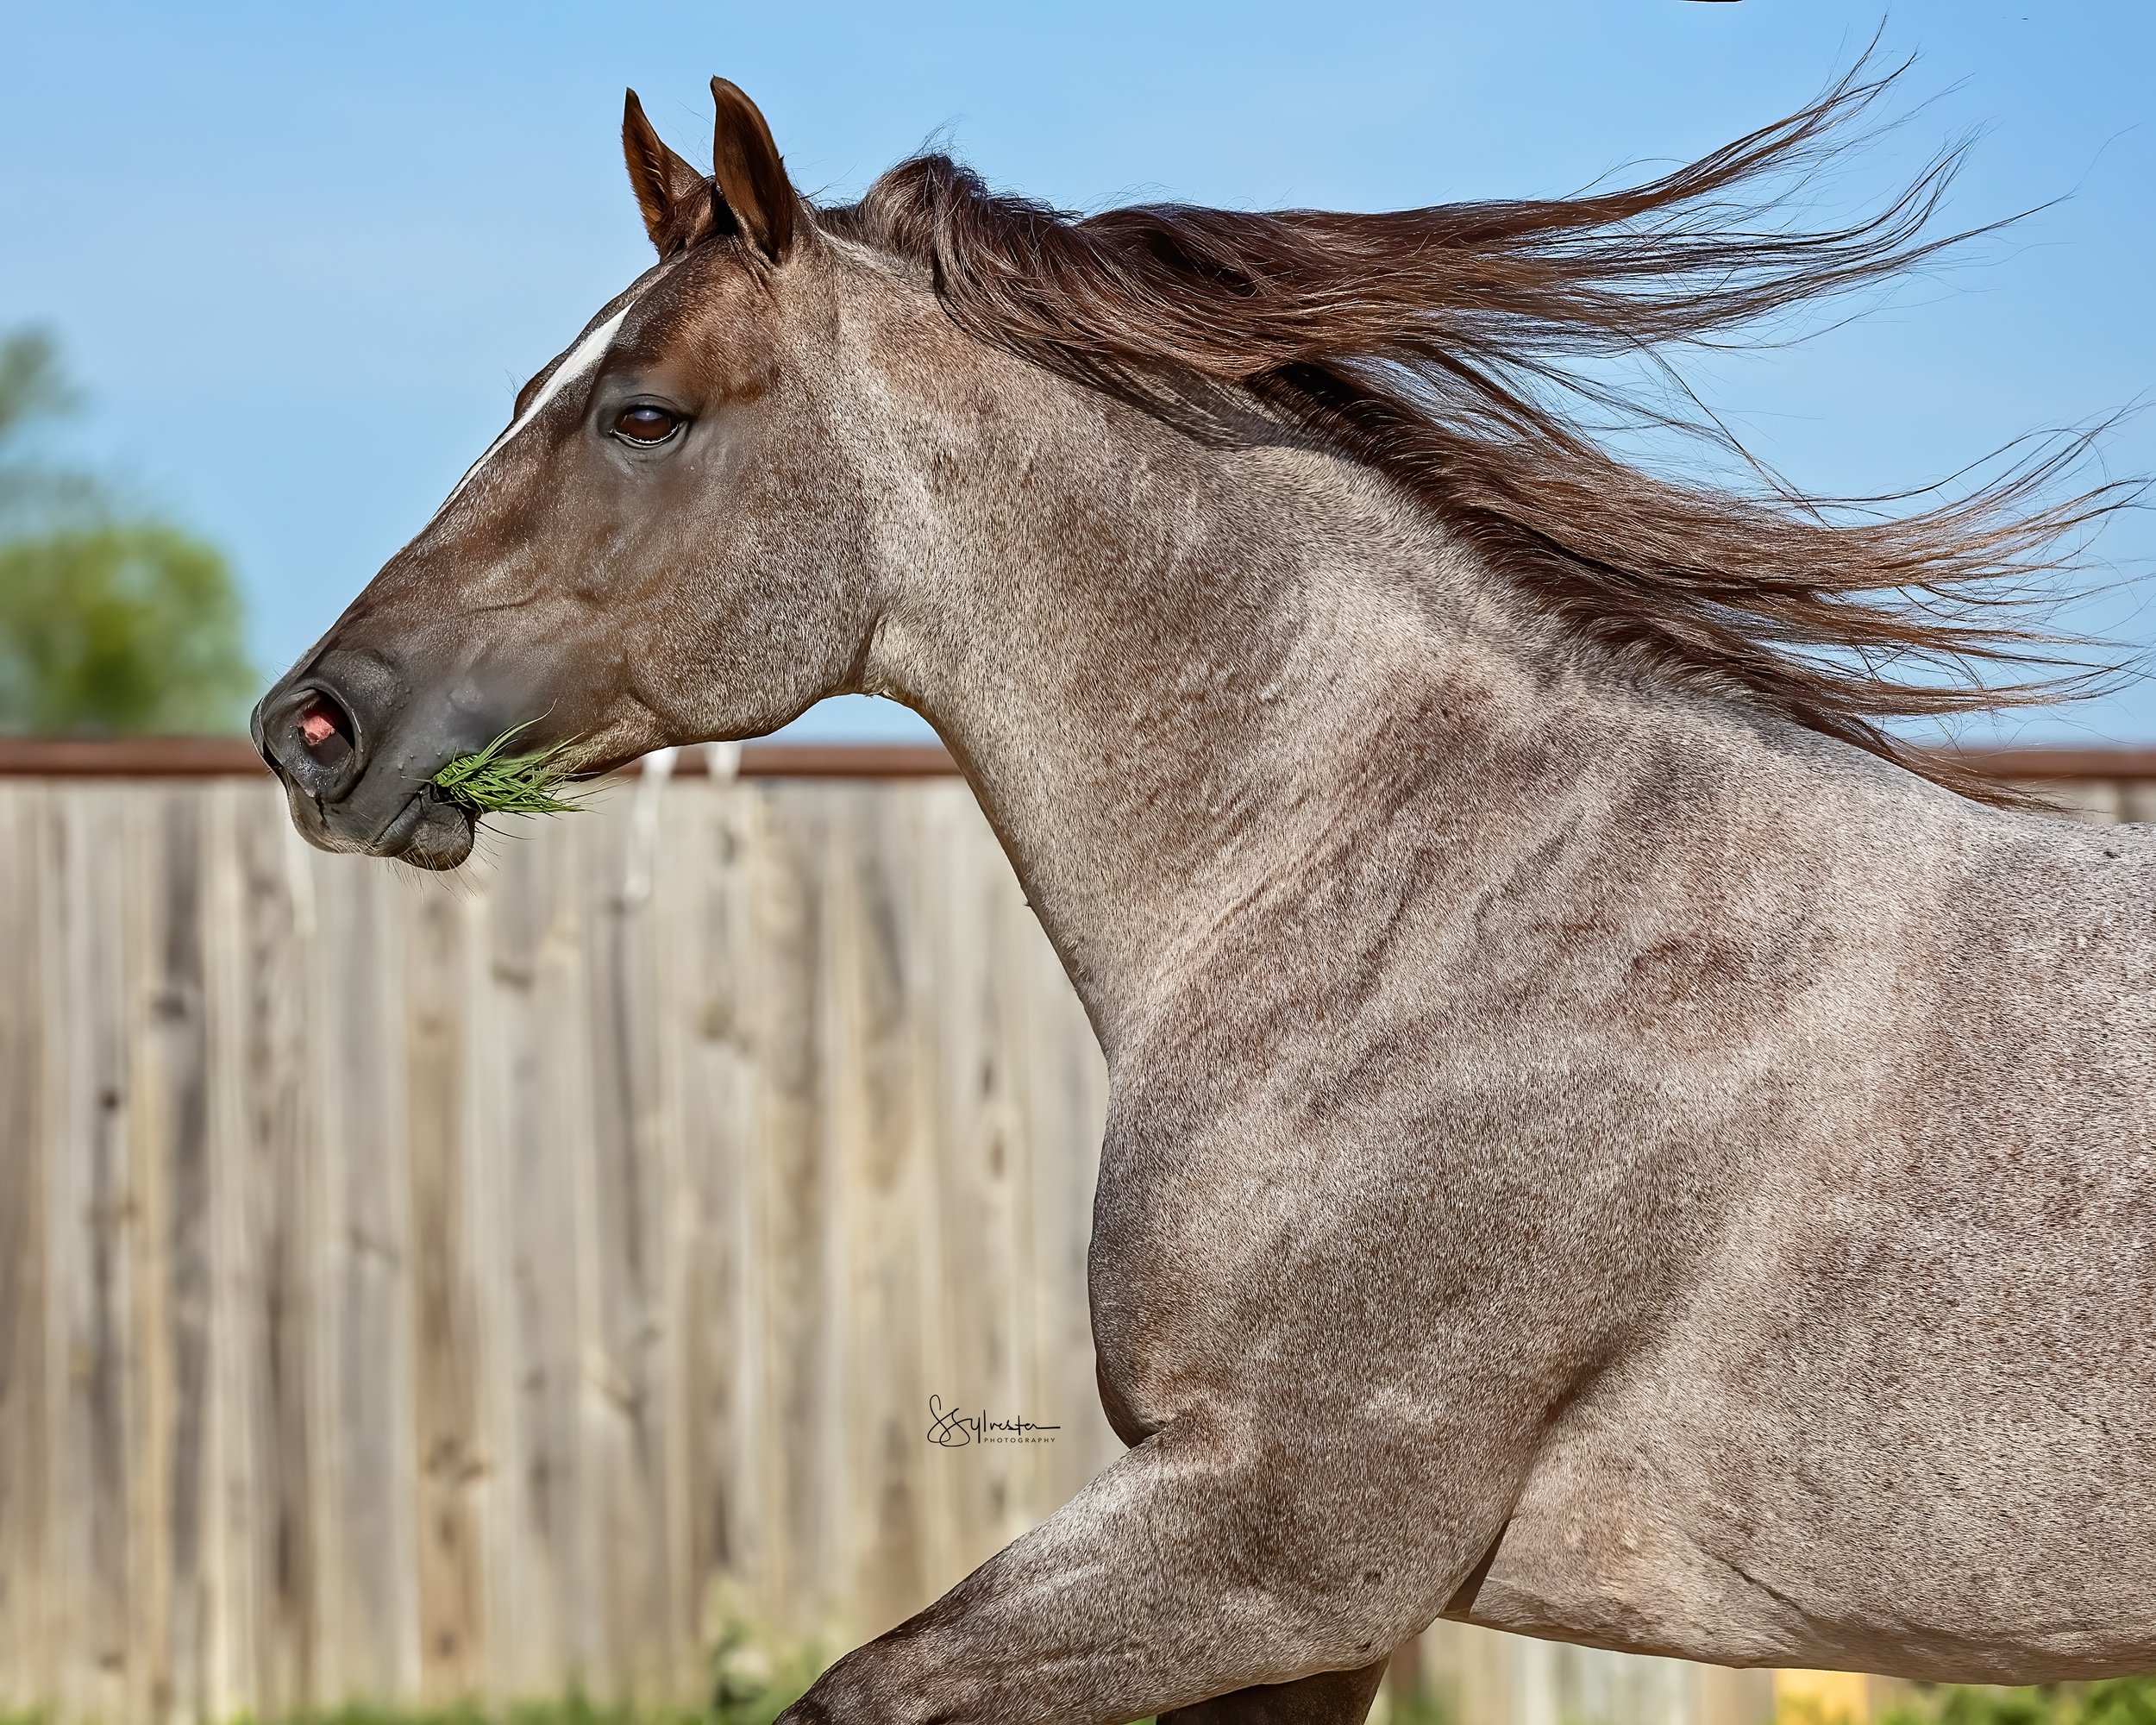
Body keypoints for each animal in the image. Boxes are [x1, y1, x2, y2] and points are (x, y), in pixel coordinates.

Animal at [253, 61, 2156, 1725]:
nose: (312, 725)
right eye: (532, 390)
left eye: (644, 414)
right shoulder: (1295, 1608)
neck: (1433, 901)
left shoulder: (1286, 1539)